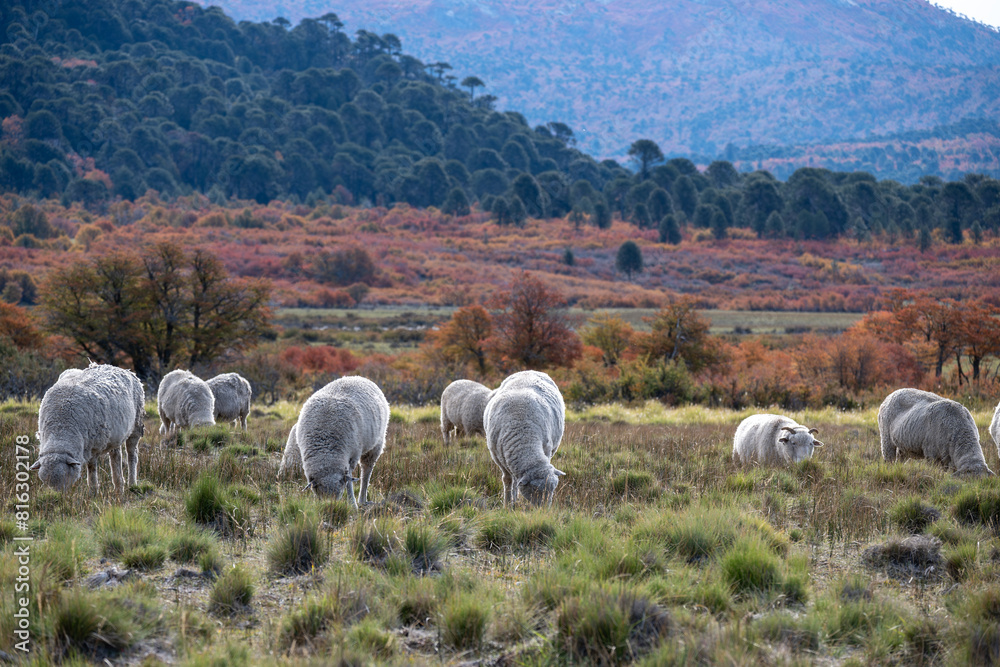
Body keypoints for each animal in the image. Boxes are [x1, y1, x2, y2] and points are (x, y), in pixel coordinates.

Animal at [30, 363, 145, 493]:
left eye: (65, 477)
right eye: (45, 482)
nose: (58, 496)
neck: (60, 426)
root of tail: (124, 370)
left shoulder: (93, 446)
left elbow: (92, 467)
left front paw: (93, 490)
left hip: (136, 425)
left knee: (132, 455)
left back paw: (132, 483)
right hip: (116, 434)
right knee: (115, 456)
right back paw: (118, 485)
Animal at [293, 376, 390, 506]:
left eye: (338, 493)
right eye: (321, 494)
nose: (330, 506)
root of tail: (357, 377)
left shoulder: (352, 457)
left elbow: (349, 483)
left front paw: (352, 503)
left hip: (375, 446)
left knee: (366, 472)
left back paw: (362, 499)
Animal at [483, 370, 566, 507]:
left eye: (553, 489)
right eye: (535, 490)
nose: (545, 510)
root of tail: (530, 370)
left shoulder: (547, 450)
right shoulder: (497, 457)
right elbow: (507, 480)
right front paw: (507, 504)